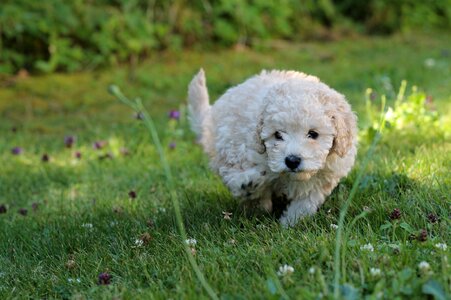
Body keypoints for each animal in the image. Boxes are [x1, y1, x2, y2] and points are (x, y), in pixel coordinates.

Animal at [187, 69, 356, 225]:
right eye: (277, 134)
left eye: (313, 134)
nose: (292, 161)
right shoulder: (241, 151)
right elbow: (239, 177)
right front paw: (247, 185)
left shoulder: (323, 177)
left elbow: (305, 202)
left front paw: (290, 223)